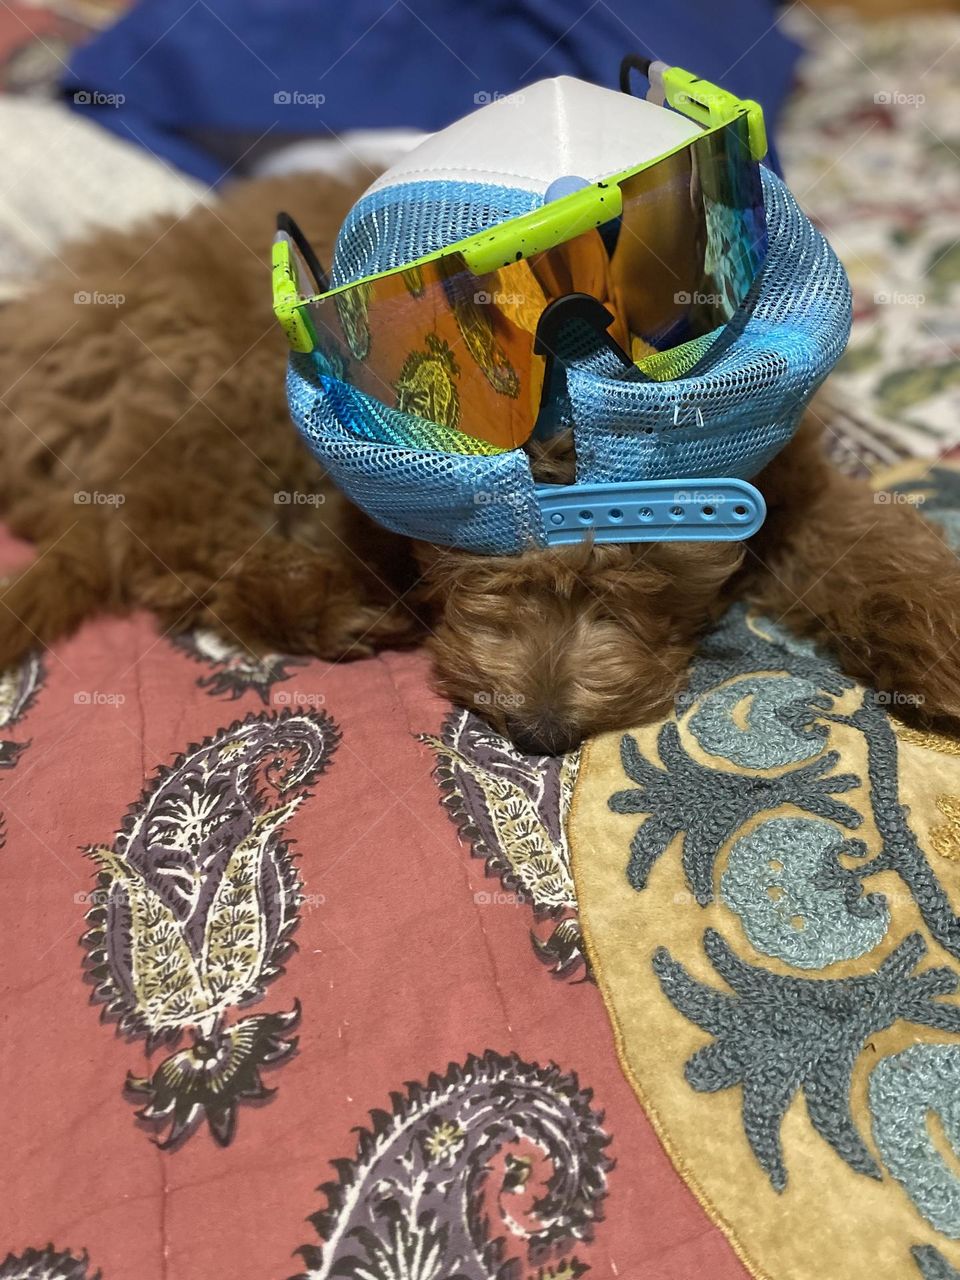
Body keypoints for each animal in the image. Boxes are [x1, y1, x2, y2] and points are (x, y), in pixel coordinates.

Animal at [1, 168, 960, 747]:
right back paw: (325, 604)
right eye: (473, 556)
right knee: (173, 547)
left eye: (650, 569)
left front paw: (937, 637)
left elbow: (866, 545)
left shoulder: (792, 477)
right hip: (213, 399)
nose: (540, 729)